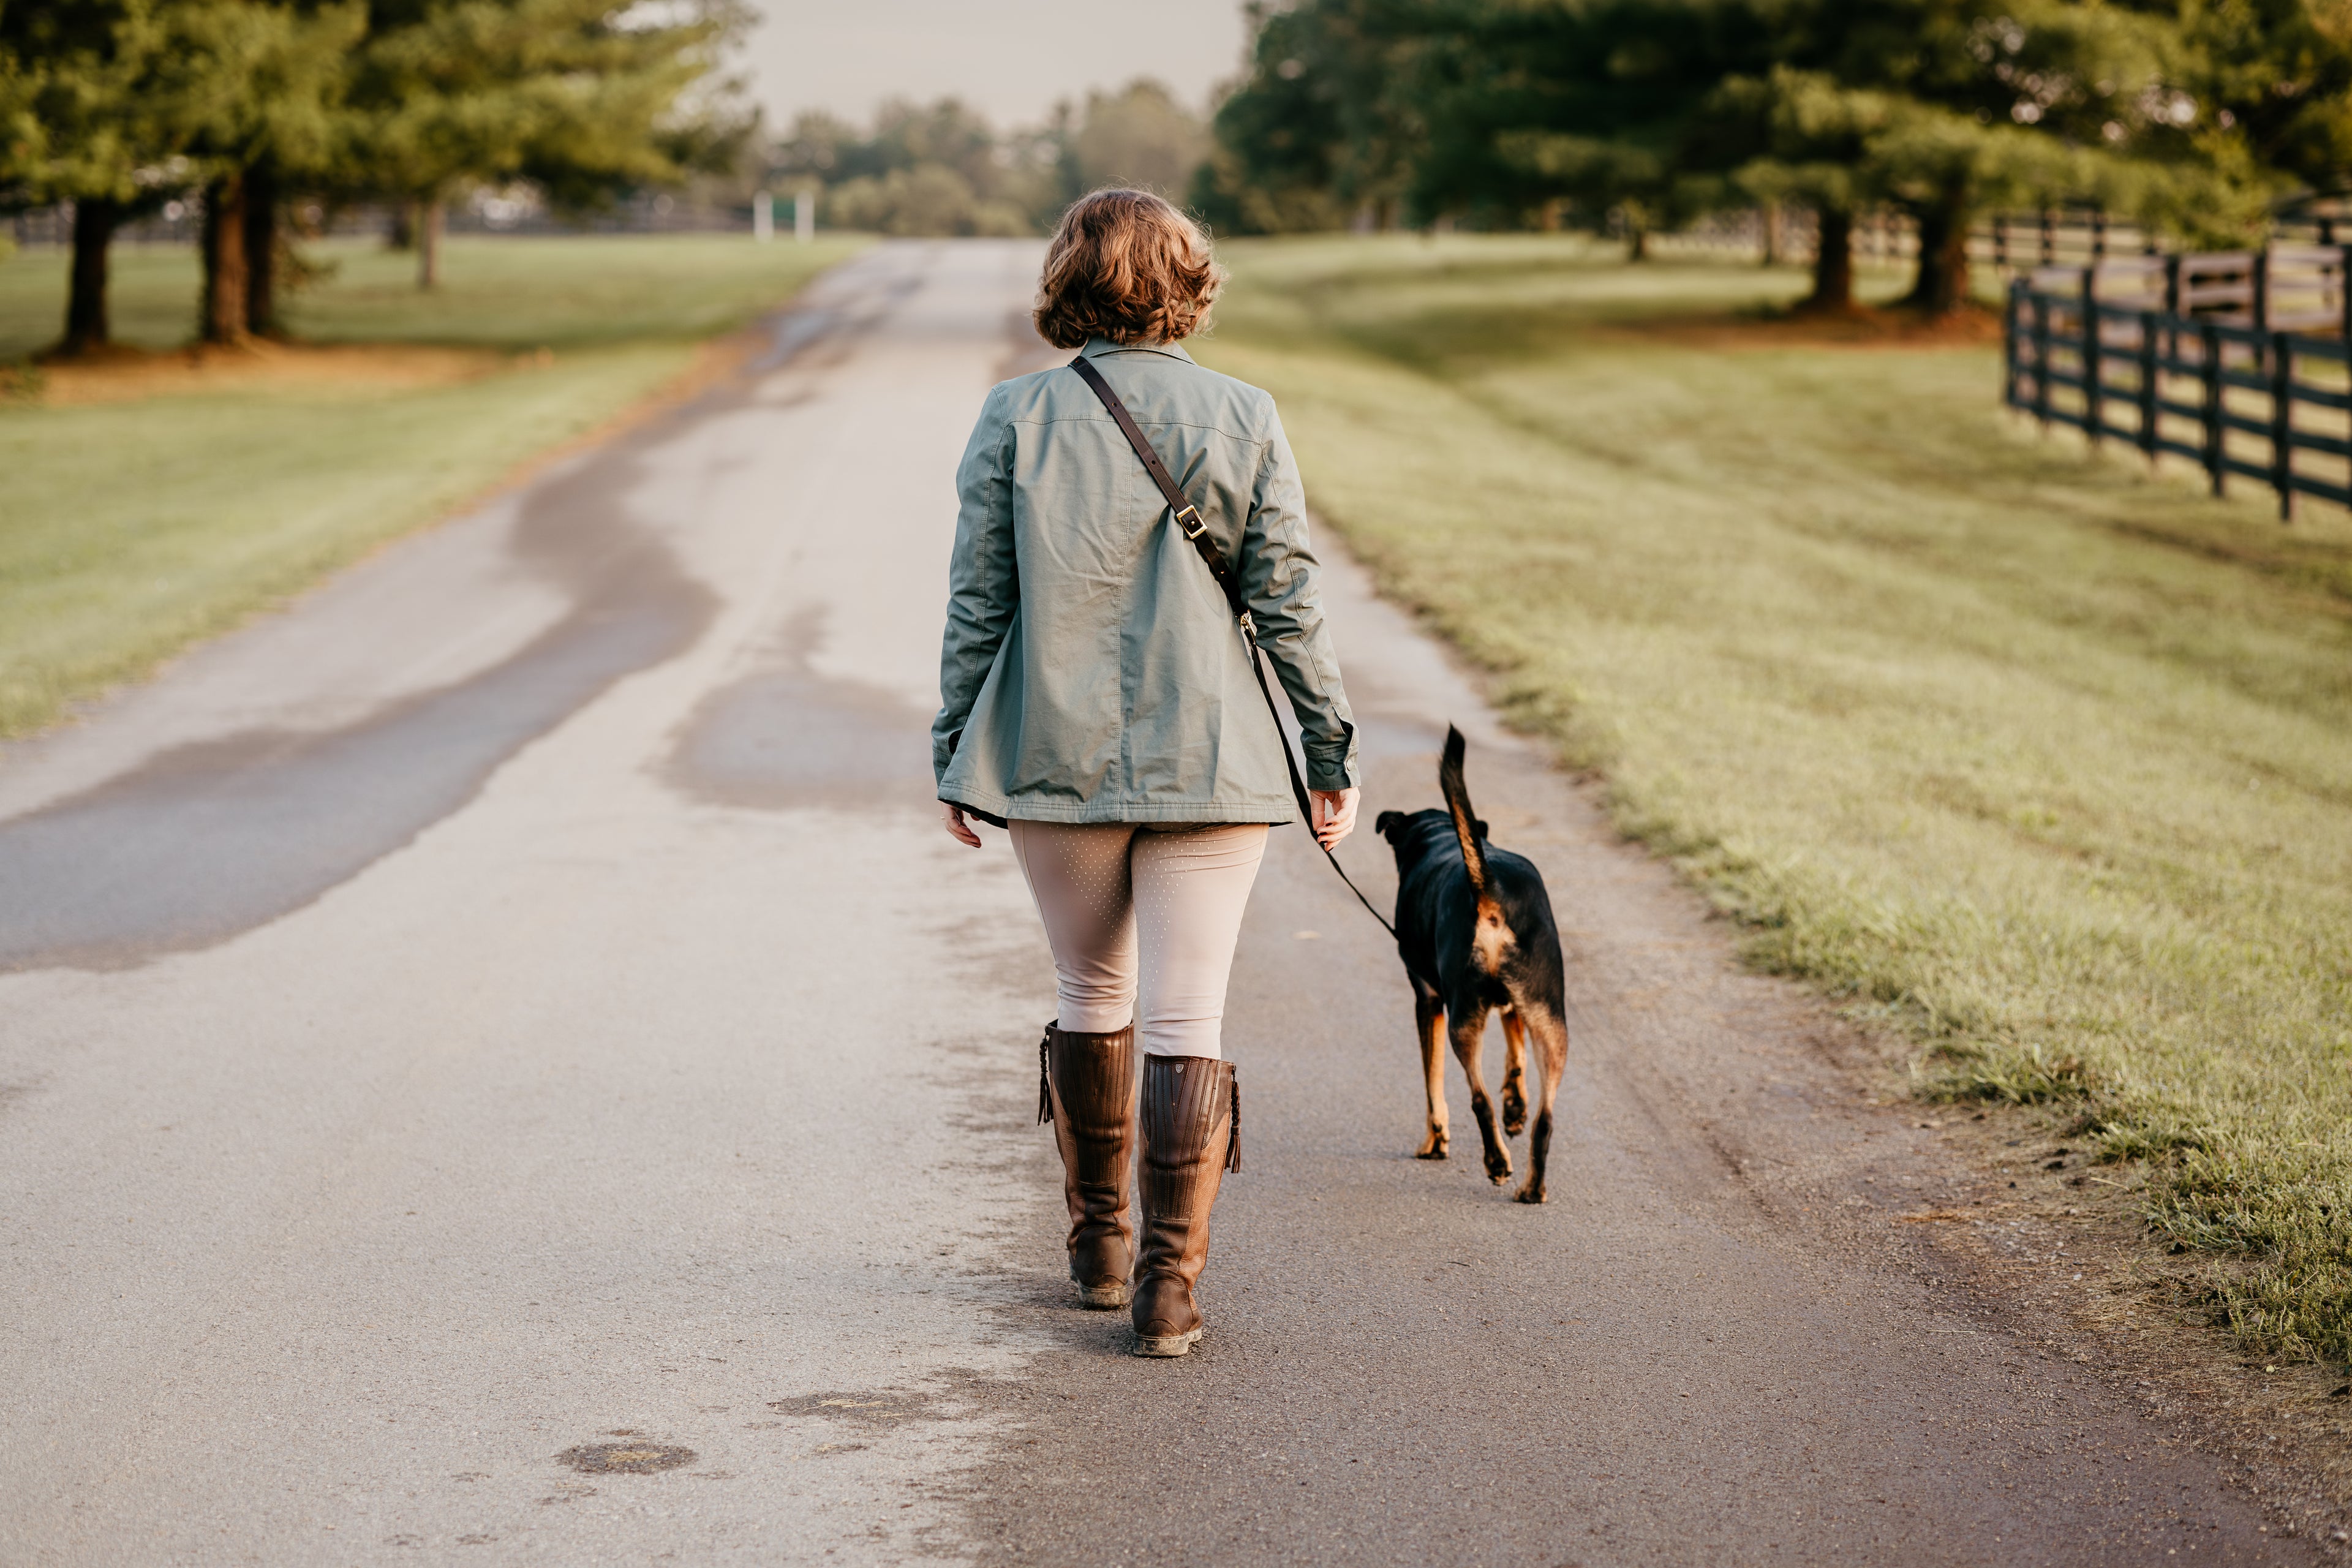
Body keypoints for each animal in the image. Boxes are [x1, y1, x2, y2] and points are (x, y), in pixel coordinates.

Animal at [1373, 728, 1571, 1213]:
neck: (1440, 834)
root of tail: (1489, 887)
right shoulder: (1515, 1005)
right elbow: (1516, 1052)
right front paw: (1515, 1106)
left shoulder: (1428, 1000)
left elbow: (1433, 1080)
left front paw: (1434, 1141)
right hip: (1551, 1019)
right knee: (1546, 1117)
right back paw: (1533, 1186)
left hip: (1462, 1018)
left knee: (1478, 1099)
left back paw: (1497, 1163)